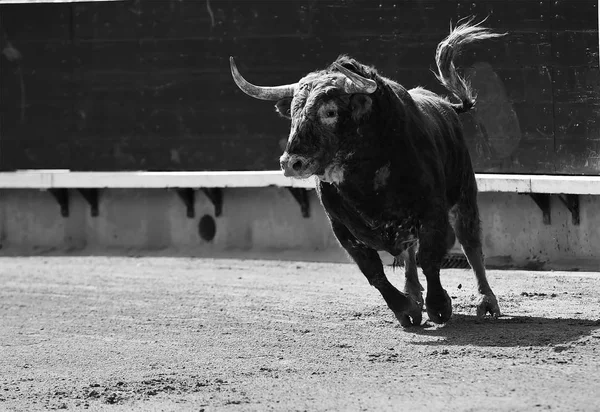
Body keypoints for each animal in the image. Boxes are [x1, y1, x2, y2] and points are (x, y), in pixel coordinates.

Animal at [230, 20, 502, 328]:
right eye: (293, 112)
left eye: (330, 112)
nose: (291, 162)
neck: (365, 177)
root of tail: (446, 105)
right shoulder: (341, 226)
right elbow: (373, 271)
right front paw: (406, 310)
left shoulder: (432, 211)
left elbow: (431, 258)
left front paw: (439, 306)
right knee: (409, 252)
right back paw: (413, 293)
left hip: (464, 193)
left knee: (471, 245)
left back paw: (486, 302)